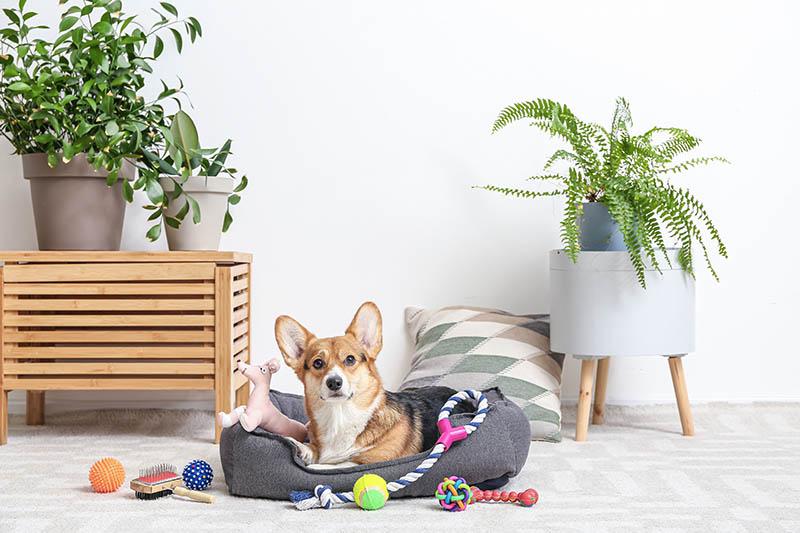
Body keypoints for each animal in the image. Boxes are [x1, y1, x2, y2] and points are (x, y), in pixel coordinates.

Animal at [276, 302, 466, 464]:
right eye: (317, 363)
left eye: (350, 359)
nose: (334, 382)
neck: (340, 416)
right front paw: (300, 447)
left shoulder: (374, 459)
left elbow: (338, 464)